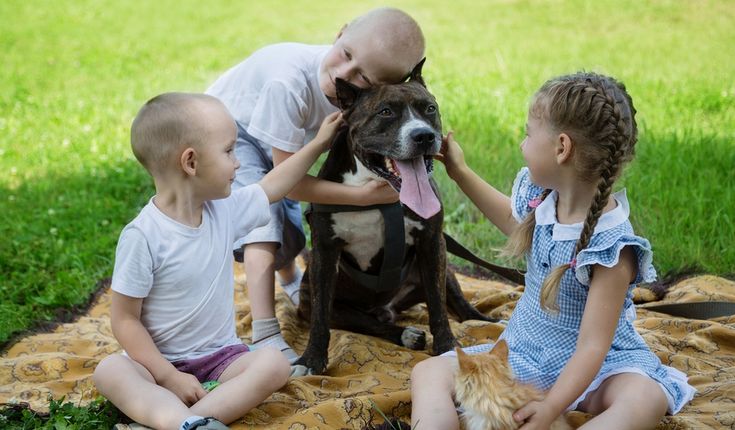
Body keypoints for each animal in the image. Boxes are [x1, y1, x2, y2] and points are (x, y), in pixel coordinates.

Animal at [294, 60, 494, 376]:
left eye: (430, 109)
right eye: (385, 112)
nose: (423, 135)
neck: (379, 190)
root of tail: (388, 308)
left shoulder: (432, 243)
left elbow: (438, 307)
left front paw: (447, 347)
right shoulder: (324, 253)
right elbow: (320, 319)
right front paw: (311, 361)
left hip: (444, 268)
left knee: (459, 305)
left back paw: (488, 322)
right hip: (320, 303)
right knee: (368, 323)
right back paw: (406, 334)